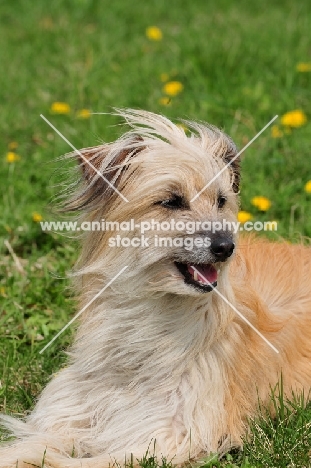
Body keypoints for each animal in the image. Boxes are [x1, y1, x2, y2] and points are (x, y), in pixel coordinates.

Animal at [0, 110, 311, 468]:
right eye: (171, 201)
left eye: (221, 201)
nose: (225, 247)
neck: (152, 315)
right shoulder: (72, 417)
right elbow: (35, 446)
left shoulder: (170, 434)